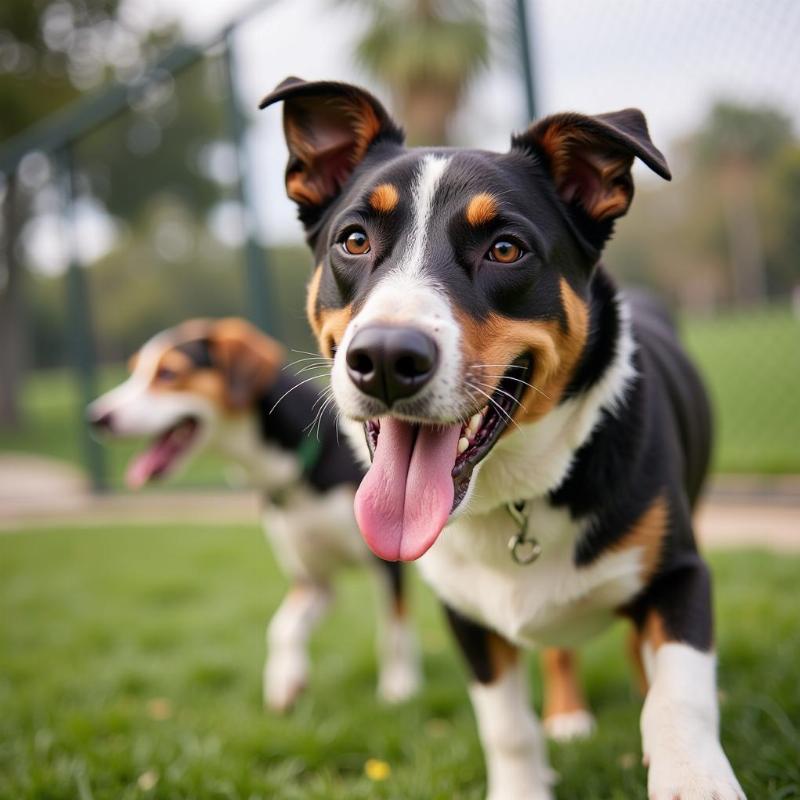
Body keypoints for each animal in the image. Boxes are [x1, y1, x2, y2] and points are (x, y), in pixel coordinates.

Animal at [87, 318, 422, 712]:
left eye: (168, 373)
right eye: (135, 370)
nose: (96, 417)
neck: (298, 472)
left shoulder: (388, 563)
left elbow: (393, 632)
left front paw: (400, 687)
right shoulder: (313, 580)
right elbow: (281, 628)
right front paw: (285, 680)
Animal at [260, 76, 744, 800]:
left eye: (506, 249)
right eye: (353, 239)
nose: (386, 358)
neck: (516, 494)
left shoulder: (680, 575)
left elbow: (677, 696)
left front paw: (692, 776)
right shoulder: (467, 615)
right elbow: (507, 725)